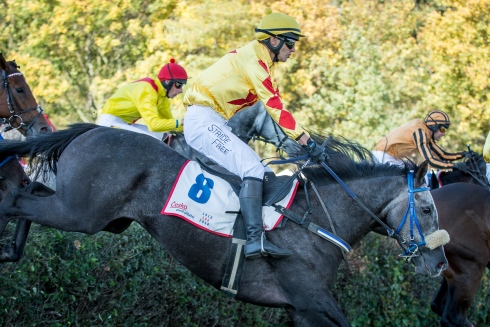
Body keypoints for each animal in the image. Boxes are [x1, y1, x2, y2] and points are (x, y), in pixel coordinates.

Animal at [0, 124, 448, 326]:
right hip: (81, 213)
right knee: (15, 200)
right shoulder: (312, 302)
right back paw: (8, 246)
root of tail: (95, 129)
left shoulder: (300, 309)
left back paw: (11, 248)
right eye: (428, 210)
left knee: (28, 191)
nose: (439, 264)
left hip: (102, 217)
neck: (317, 218)